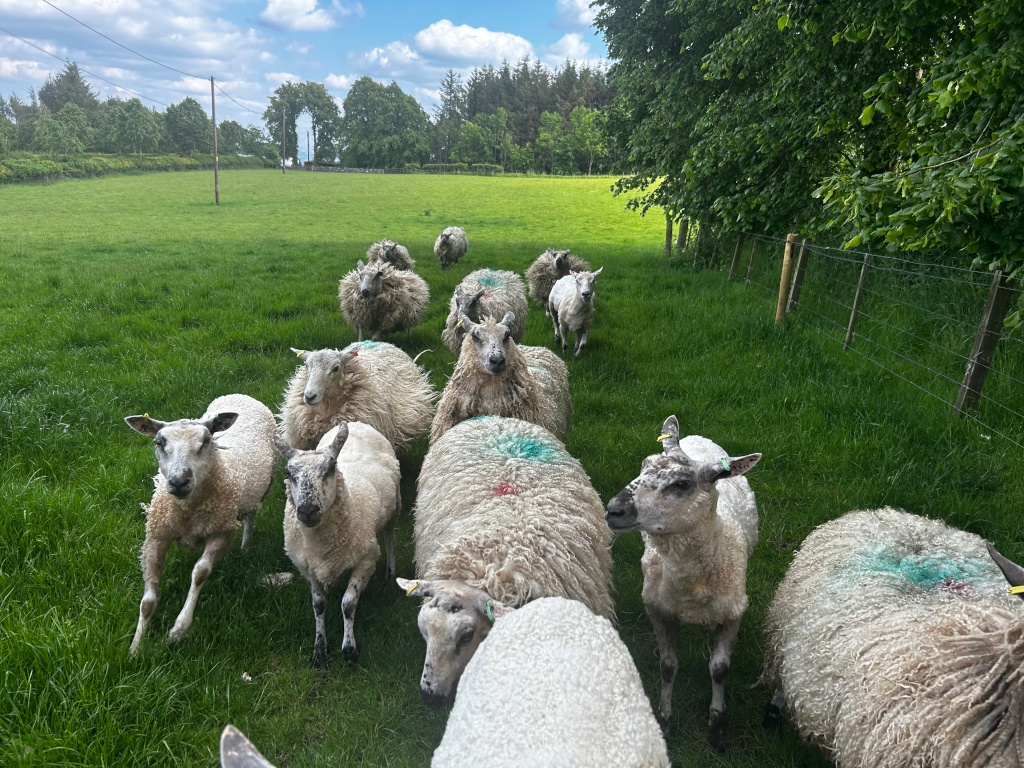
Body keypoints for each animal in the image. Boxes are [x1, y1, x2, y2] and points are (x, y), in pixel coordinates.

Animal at [123, 394, 277, 655]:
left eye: (206, 441)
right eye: (159, 442)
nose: (179, 481)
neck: (189, 510)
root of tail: (242, 395)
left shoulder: (221, 532)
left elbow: (200, 573)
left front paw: (178, 630)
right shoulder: (156, 536)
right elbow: (148, 601)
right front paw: (136, 646)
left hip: (262, 490)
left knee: (250, 516)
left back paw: (246, 546)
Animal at [274, 422, 401, 667]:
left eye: (331, 468)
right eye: (288, 473)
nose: (307, 510)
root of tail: (355, 422)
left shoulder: (366, 560)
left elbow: (348, 603)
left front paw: (349, 650)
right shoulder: (308, 568)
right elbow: (318, 604)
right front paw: (319, 650)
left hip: (394, 508)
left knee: (390, 538)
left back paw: (390, 573)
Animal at [605, 414, 762, 743]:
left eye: (681, 484)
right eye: (643, 464)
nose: (613, 510)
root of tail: (694, 437)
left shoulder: (734, 613)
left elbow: (719, 668)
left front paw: (716, 722)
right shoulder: (658, 609)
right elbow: (667, 666)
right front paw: (665, 718)